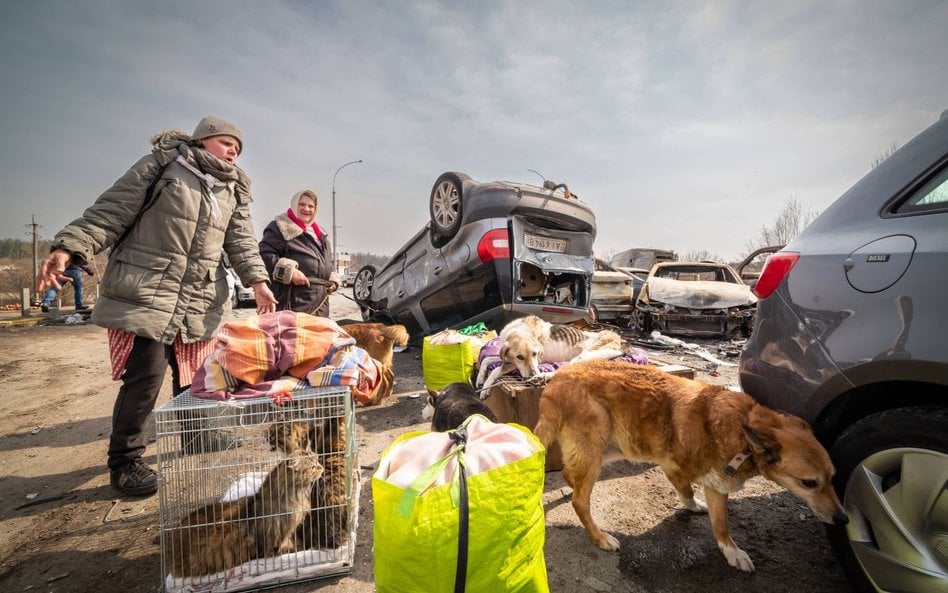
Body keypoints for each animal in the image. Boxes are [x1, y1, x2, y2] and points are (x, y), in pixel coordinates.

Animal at [474, 314, 628, 394]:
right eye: (520, 357)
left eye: (535, 354)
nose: (532, 374)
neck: (519, 331)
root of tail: (618, 340)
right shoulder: (510, 359)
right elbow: (487, 359)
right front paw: (480, 379)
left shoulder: (533, 363)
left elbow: (496, 370)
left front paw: (485, 388)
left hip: (584, 355)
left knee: (563, 369)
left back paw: (540, 377)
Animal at [528, 358, 848, 572]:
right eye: (809, 483)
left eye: (833, 477)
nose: (843, 519)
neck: (744, 432)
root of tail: (557, 380)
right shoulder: (672, 467)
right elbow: (685, 489)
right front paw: (691, 505)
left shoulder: (718, 485)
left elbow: (721, 524)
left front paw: (730, 551)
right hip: (596, 449)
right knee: (581, 501)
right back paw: (599, 537)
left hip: (612, 448)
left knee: (571, 476)